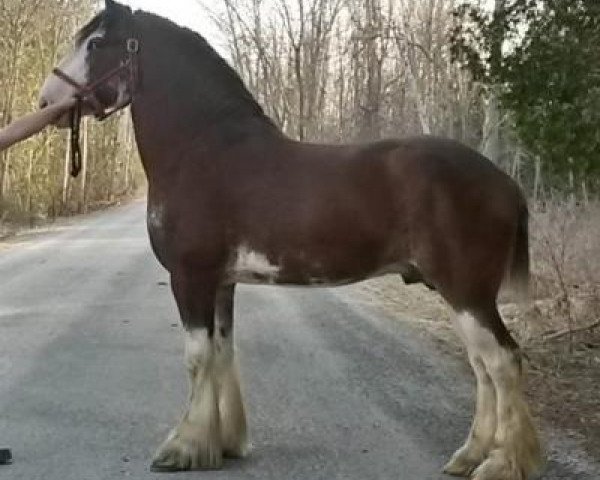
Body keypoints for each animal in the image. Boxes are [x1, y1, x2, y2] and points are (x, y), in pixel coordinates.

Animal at [38, 1, 544, 478]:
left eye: (96, 43)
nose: (47, 101)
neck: (201, 150)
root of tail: (504, 182)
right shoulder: (222, 282)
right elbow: (222, 352)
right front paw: (224, 443)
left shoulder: (191, 276)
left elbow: (197, 358)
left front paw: (183, 448)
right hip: (458, 293)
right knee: (483, 366)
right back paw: (469, 456)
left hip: (467, 292)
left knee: (502, 361)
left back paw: (500, 463)